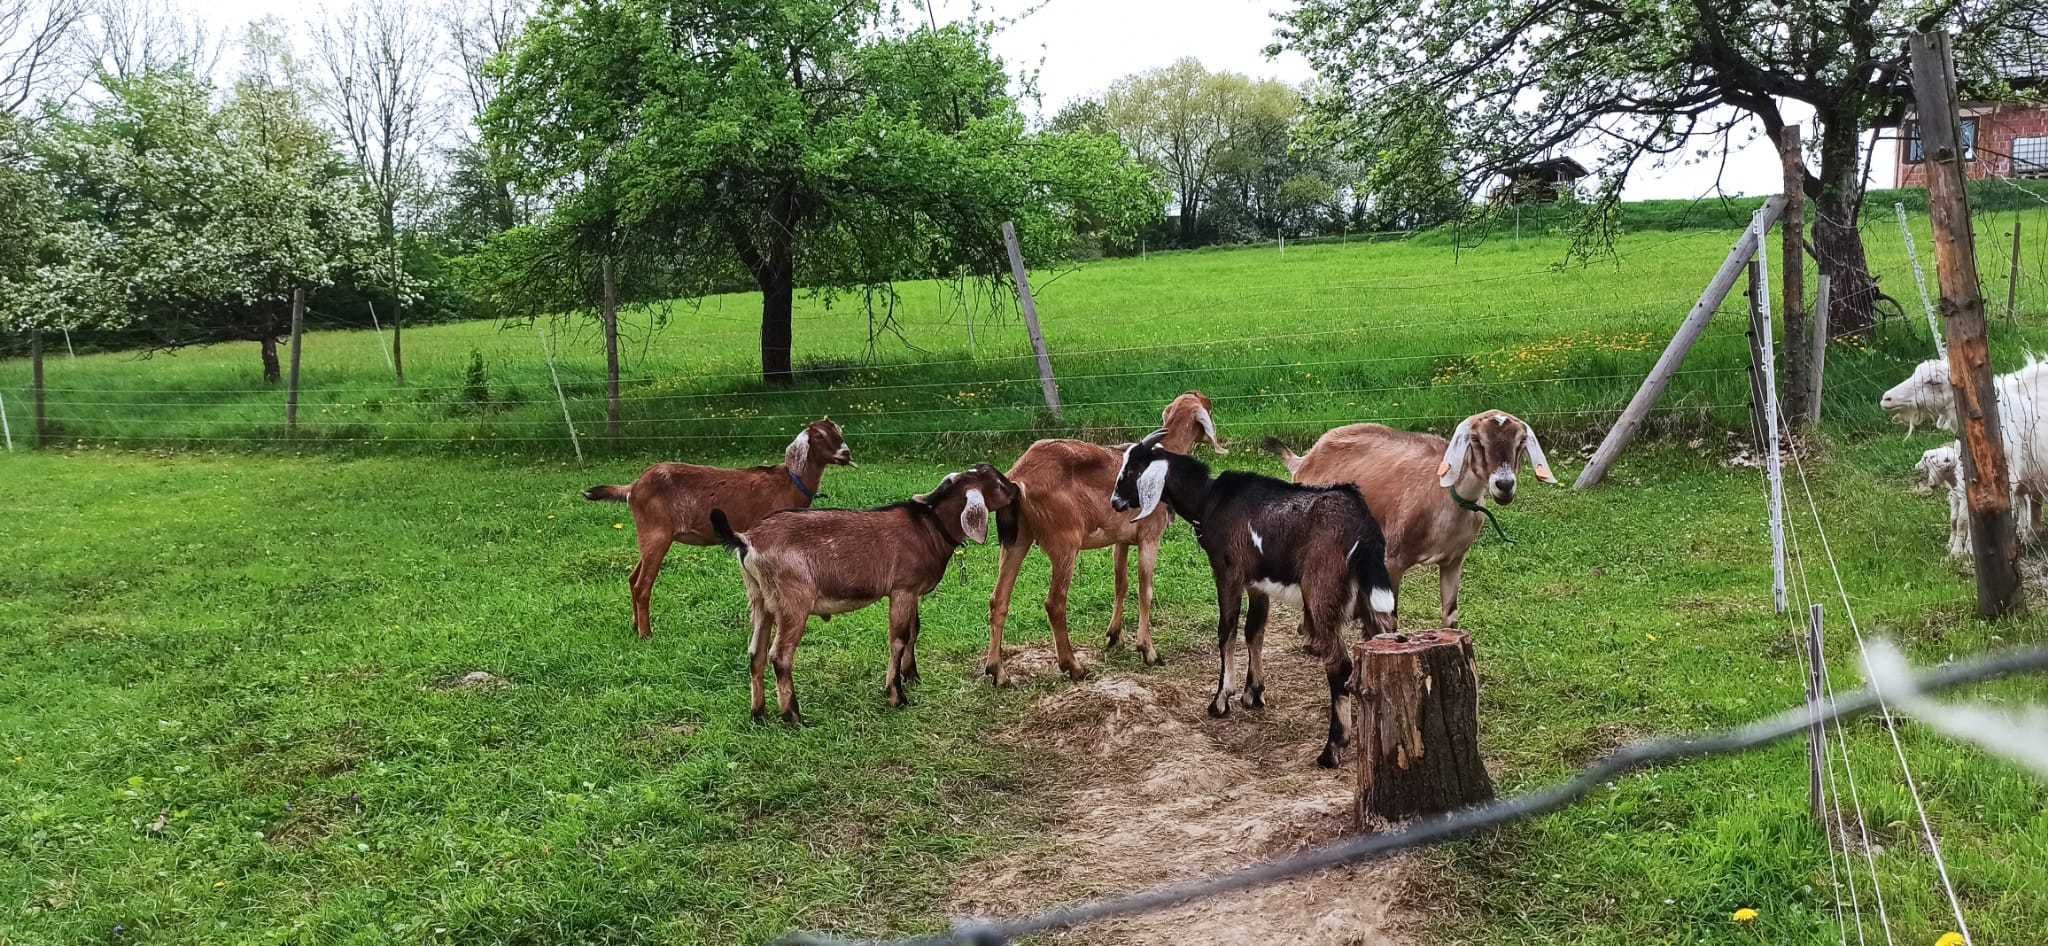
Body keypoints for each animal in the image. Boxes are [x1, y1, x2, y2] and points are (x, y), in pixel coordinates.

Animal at [585, 423, 856, 638]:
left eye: (838, 431)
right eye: (819, 436)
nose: (846, 453)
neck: (789, 483)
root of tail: (633, 487)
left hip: (650, 535)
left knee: (633, 578)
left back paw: (634, 626)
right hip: (656, 533)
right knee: (643, 585)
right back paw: (645, 634)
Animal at [708, 464, 1019, 724]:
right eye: (998, 483)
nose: (1016, 488)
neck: (928, 527)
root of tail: (746, 541)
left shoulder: (912, 591)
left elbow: (914, 630)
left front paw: (911, 676)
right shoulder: (902, 588)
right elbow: (899, 638)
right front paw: (896, 694)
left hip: (760, 599)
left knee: (755, 652)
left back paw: (759, 713)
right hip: (793, 601)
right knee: (780, 655)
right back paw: (793, 716)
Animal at [983, 387, 1220, 683]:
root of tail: (1018, 479)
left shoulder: (1121, 540)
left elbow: (1121, 583)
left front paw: (1114, 636)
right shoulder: (1150, 538)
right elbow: (1145, 590)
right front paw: (1148, 651)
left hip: (1017, 540)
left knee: (998, 600)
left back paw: (997, 671)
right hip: (1065, 544)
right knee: (1055, 603)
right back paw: (1073, 666)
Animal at [1114, 427, 1400, 769]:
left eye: (1132, 470)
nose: (1115, 501)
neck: (1209, 499)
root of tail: (1362, 529)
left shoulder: (1229, 574)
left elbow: (1226, 631)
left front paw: (1220, 700)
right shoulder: (1257, 585)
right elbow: (1255, 631)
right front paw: (1254, 693)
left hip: (1321, 593)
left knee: (1339, 666)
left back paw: (1332, 748)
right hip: (1372, 598)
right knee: (1385, 641)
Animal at [1277, 411, 1548, 626]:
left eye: (1521, 441)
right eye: (1476, 440)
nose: (1504, 485)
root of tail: (1304, 460)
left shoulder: (1454, 560)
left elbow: (1451, 614)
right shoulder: (1393, 560)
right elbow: (1391, 616)